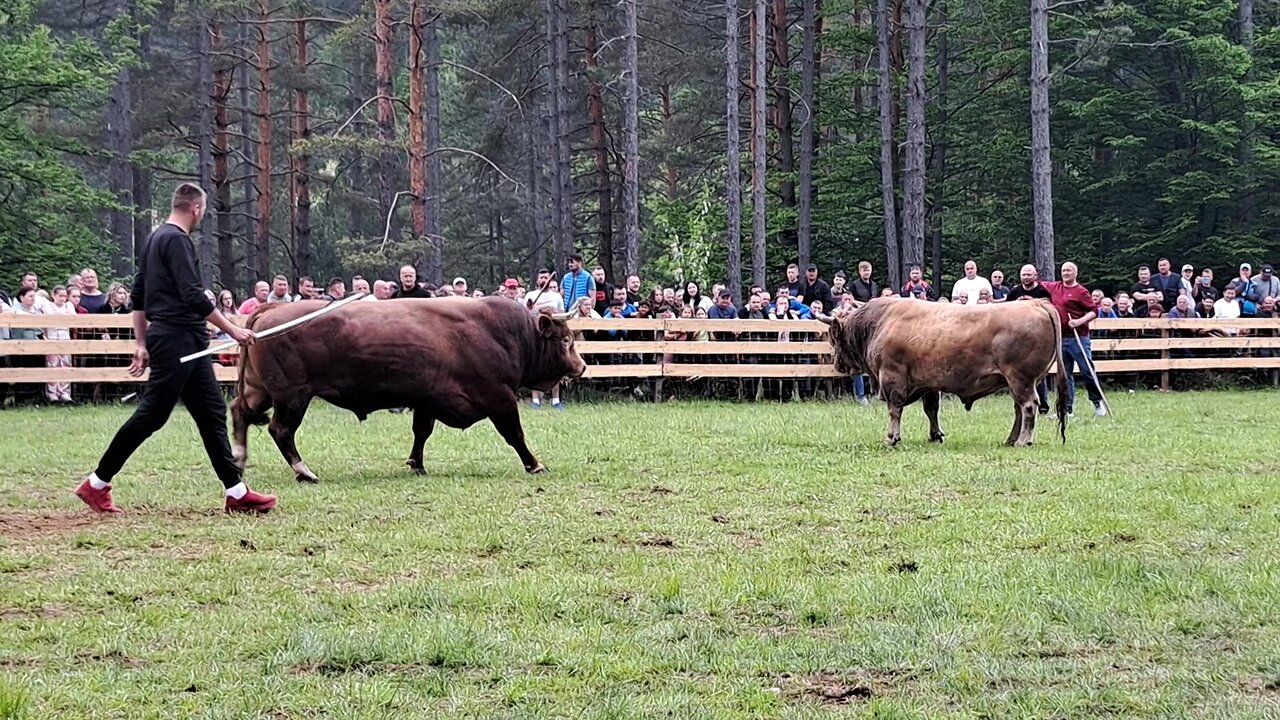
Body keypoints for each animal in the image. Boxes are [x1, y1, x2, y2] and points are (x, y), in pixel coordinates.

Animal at [232, 294, 586, 479]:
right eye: (566, 339)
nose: (581, 366)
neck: (504, 333)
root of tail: (271, 309)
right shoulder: (500, 398)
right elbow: (515, 434)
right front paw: (534, 464)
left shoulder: (428, 399)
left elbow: (421, 432)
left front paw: (416, 463)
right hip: (292, 396)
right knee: (280, 430)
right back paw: (303, 470)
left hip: (258, 390)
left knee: (240, 414)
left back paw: (238, 458)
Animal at [824, 295, 1064, 443]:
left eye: (834, 338)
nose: (836, 363)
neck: (881, 321)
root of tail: (1036, 303)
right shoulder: (928, 383)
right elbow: (931, 409)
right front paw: (935, 435)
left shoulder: (892, 377)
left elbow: (895, 409)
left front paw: (892, 437)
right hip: (1021, 381)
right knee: (1019, 409)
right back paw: (1010, 439)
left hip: (1020, 379)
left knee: (1028, 406)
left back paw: (1023, 440)